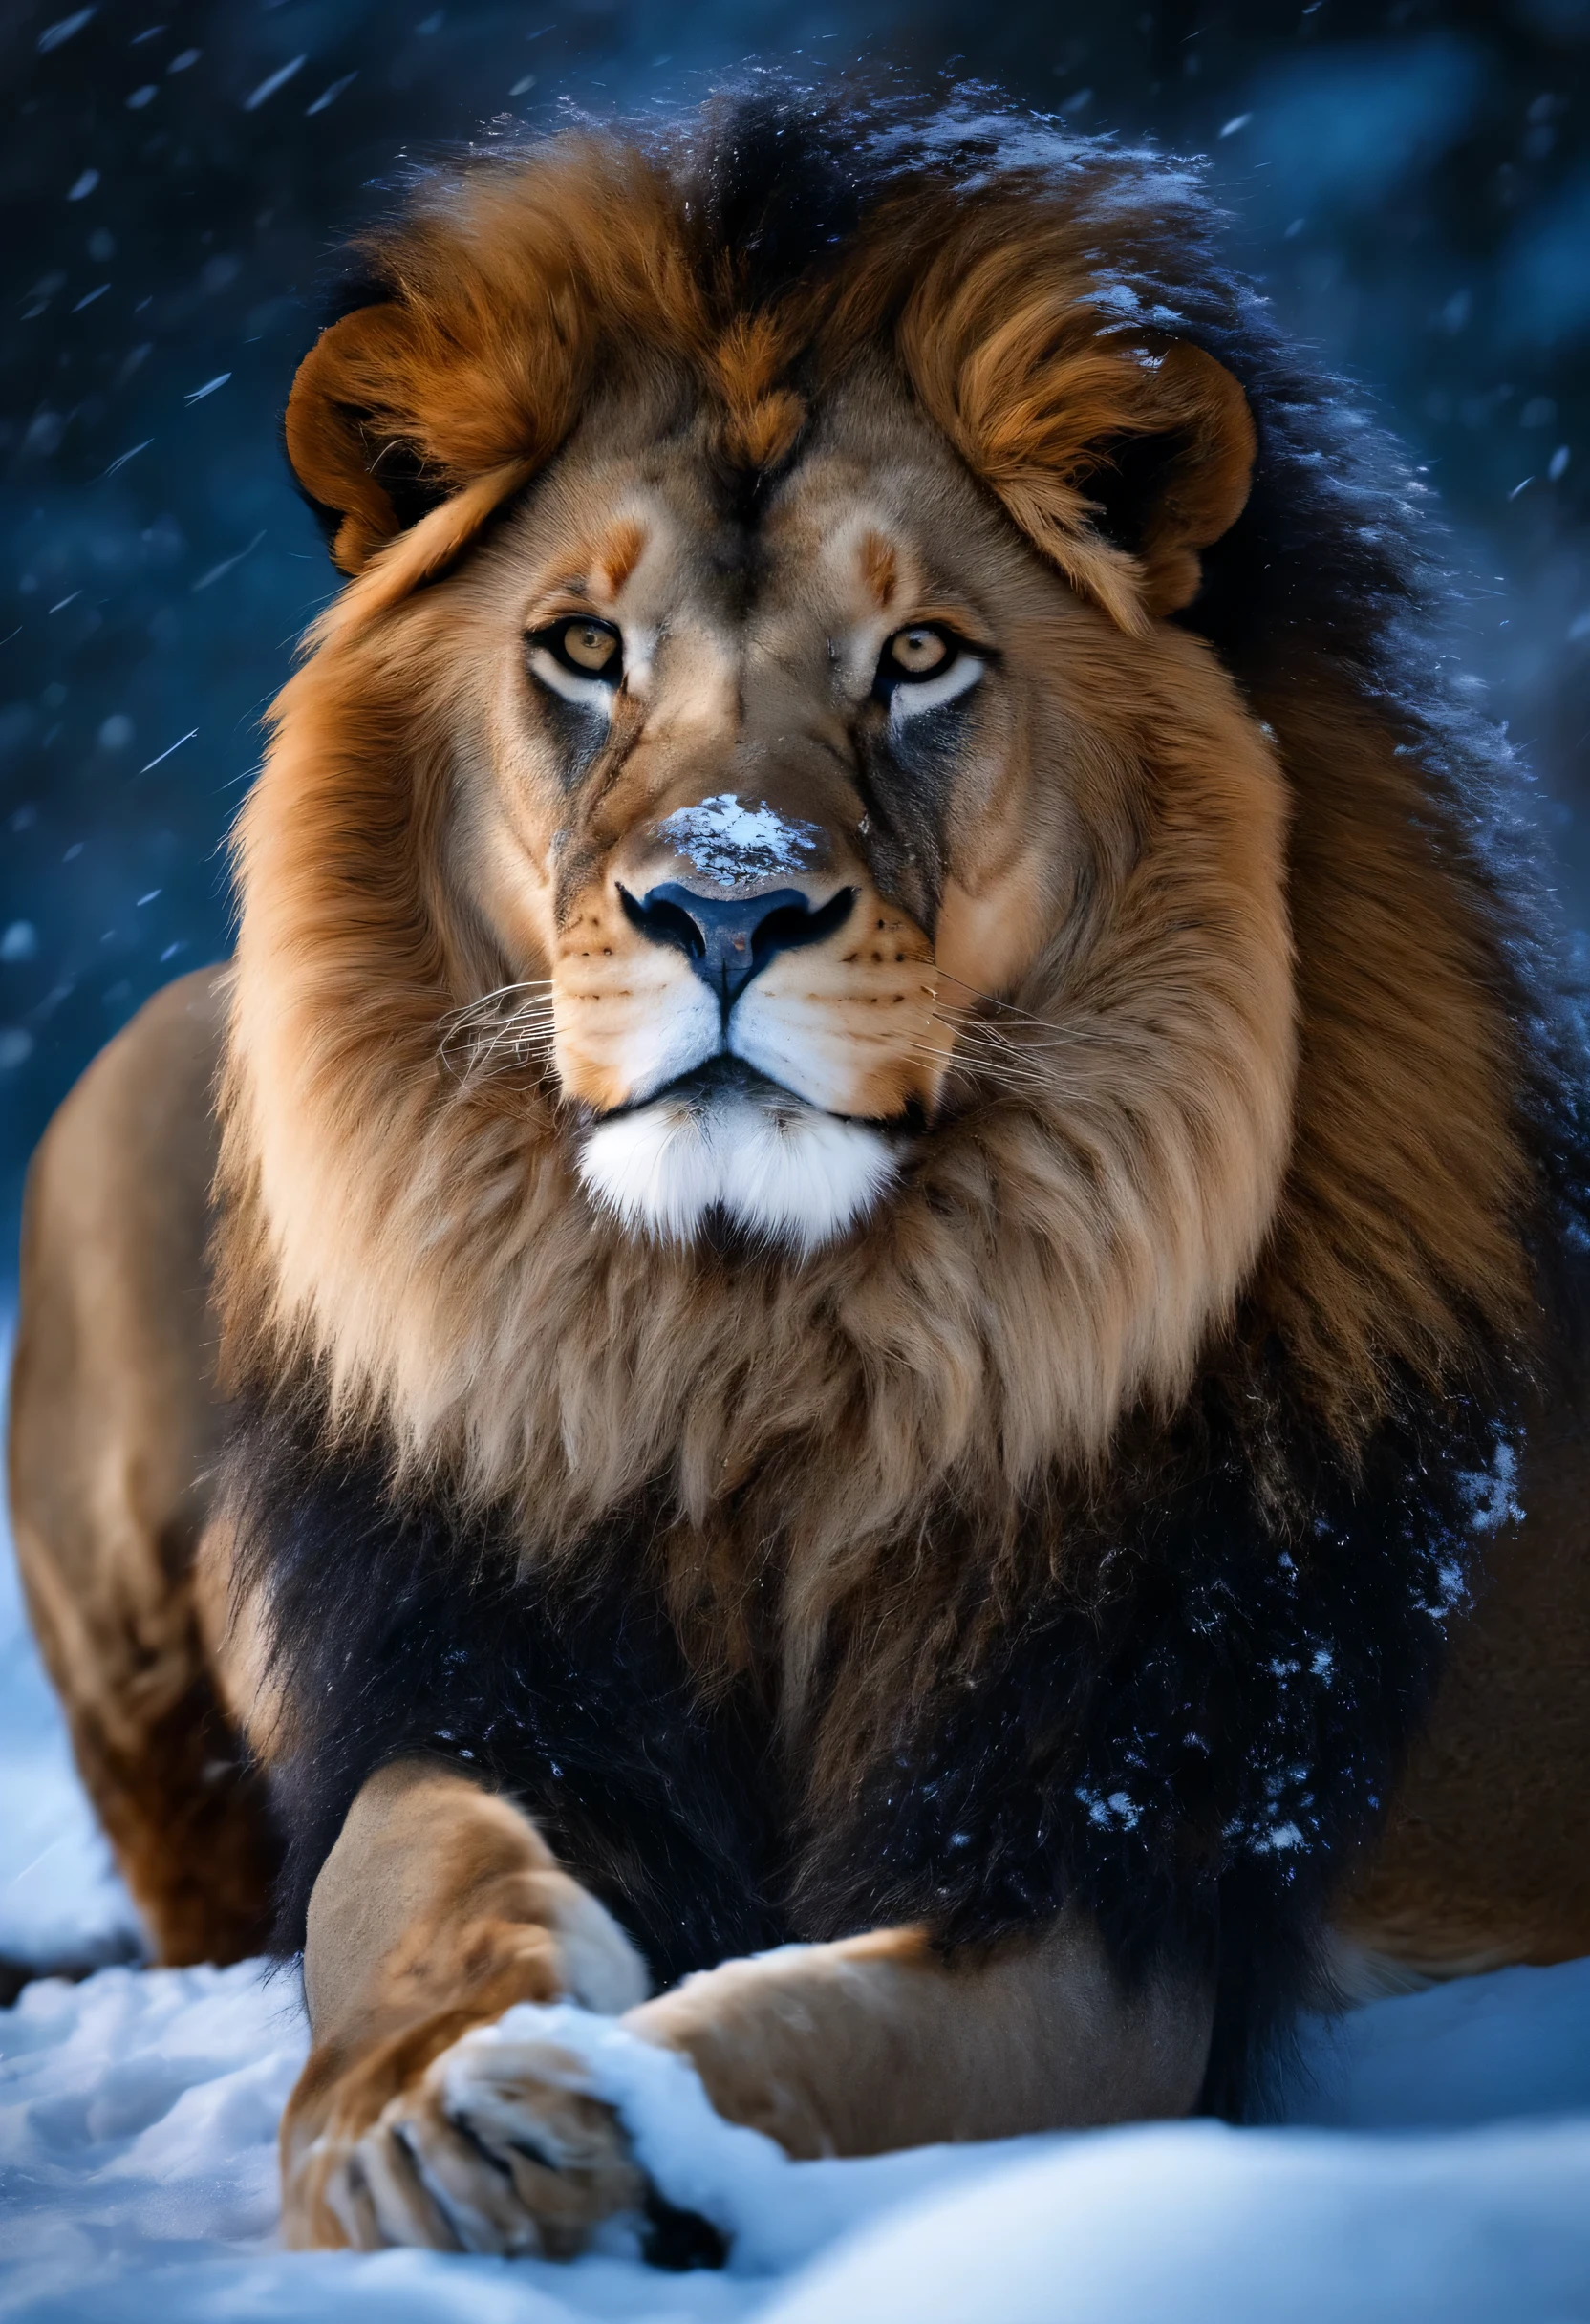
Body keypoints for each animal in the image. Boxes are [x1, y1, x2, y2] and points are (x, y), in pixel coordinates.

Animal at [10, 85, 1590, 2261]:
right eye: (582, 647)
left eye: (918, 655)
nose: (725, 907)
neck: (758, 1345)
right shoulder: (480, 1681)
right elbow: (412, 1882)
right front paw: (430, 2099)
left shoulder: (1115, 1862)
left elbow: (845, 2035)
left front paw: (629, 2114)